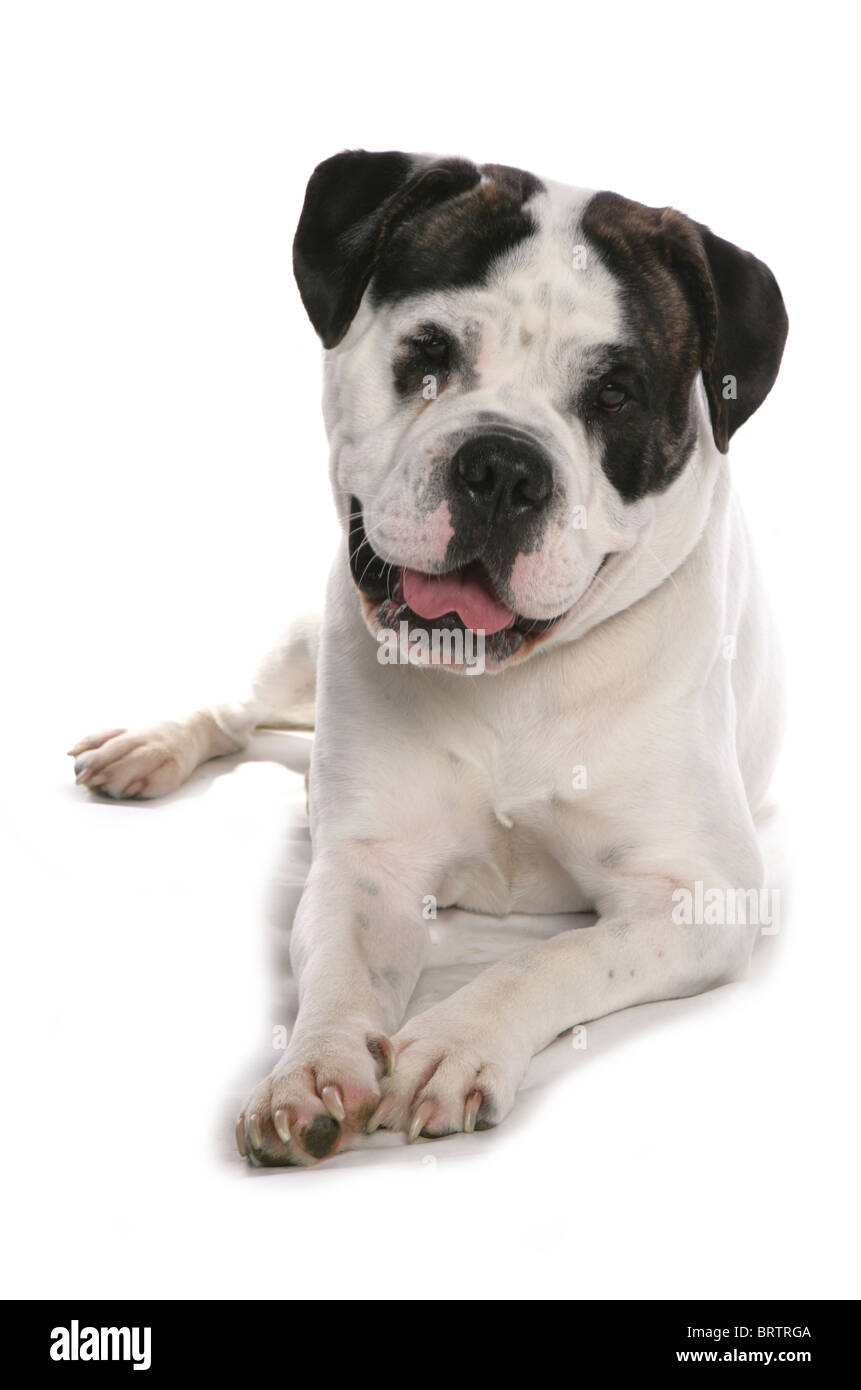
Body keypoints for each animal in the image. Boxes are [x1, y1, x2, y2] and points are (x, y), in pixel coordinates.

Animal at [70, 149, 790, 1162]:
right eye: (430, 353)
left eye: (614, 394)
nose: (503, 467)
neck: (512, 683)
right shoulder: (370, 863)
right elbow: (340, 972)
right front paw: (312, 1070)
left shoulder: (698, 894)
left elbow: (551, 958)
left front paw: (452, 1046)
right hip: (302, 647)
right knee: (241, 709)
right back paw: (153, 746)